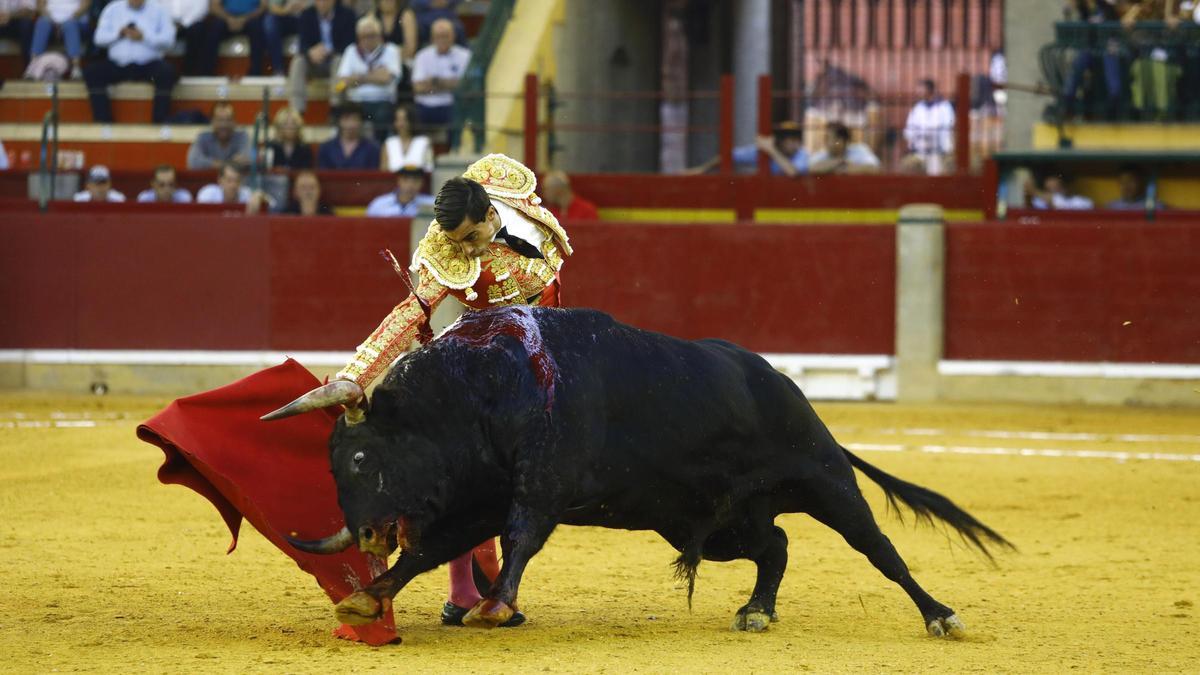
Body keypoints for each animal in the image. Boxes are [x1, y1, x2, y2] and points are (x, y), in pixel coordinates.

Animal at [274, 307, 1012, 634]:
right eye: (333, 465)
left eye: (362, 456)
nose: (367, 532)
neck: (481, 390)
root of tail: (784, 385)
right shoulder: (477, 497)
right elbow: (433, 548)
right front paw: (368, 596)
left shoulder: (538, 487)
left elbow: (518, 539)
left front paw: (495, 604)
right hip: (717, 524)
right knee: (775, 544)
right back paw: (755, 611)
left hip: (826, 480)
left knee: (878, 546)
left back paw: (940, 614)